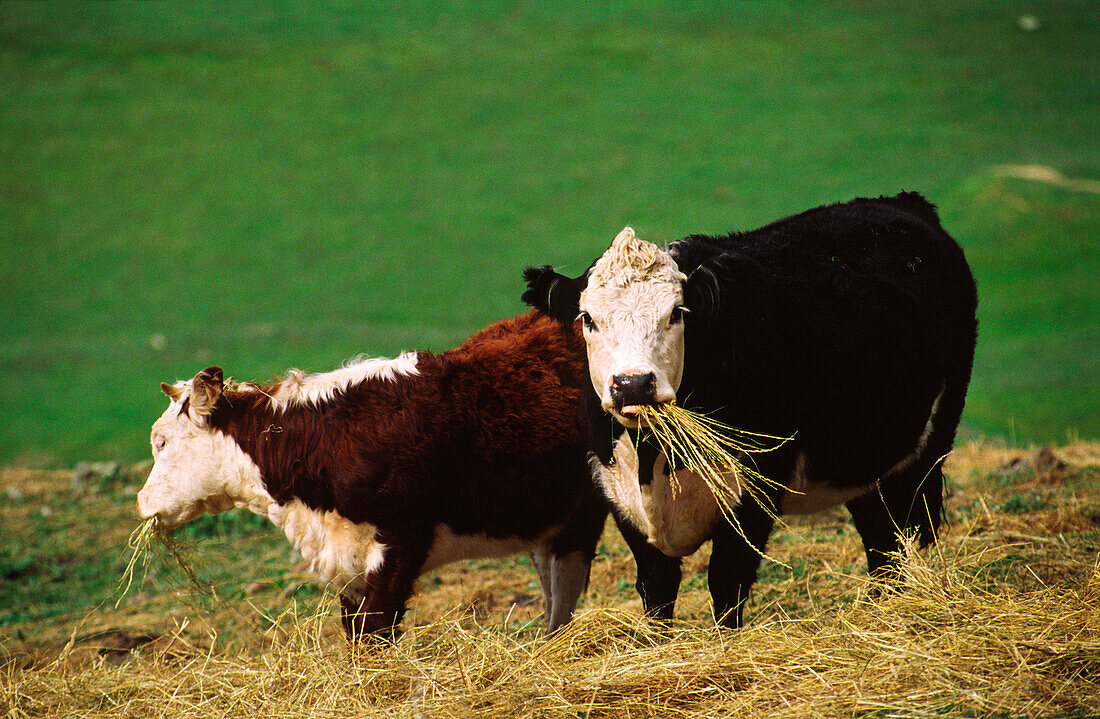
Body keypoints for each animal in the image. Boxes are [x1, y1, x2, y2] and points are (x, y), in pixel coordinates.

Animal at [138, 312, 607, 637]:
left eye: (160, 441)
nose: (142, 502)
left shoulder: (401, 541)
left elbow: (375, 631)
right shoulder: (347, 561)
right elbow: (355, 631)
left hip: (583, 510)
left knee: (565, 586)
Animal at [523, 193, 981, 633]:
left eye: (677, 314)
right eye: (588, 318)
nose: (633, 384)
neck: (654, 461)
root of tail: (904, 203)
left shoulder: (758, 487)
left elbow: (727, 582)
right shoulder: (618, 494)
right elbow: (656, 588)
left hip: (930, 443)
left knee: (909, 528)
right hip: (864, 463)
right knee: (881, 541)